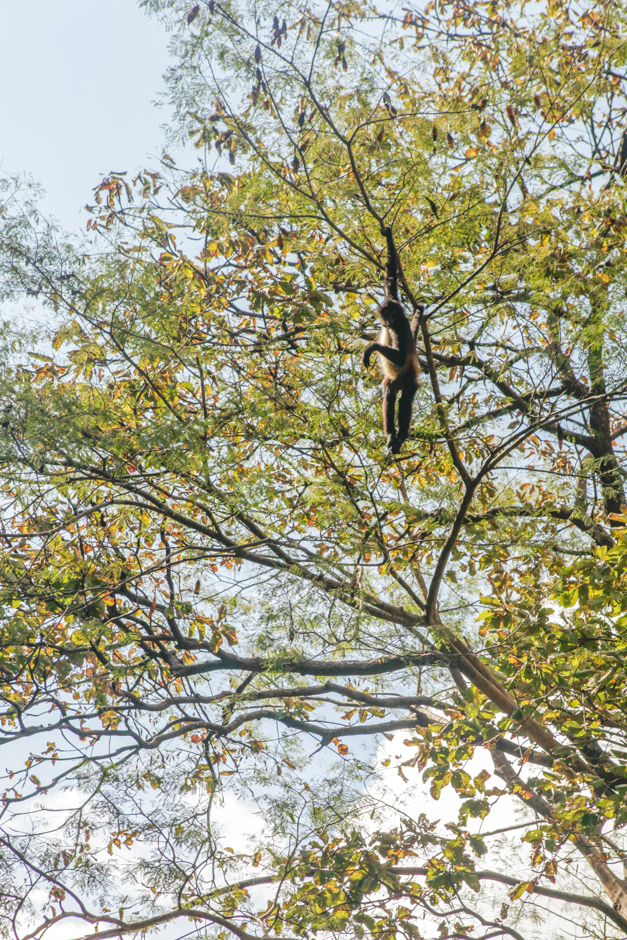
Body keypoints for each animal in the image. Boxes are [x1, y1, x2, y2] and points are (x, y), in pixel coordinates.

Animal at [362, 227, 421, 455]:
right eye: (386, 313)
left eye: (394, 314)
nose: (389, 320)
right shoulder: (392, 299)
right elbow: (390, 277)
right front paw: (388, 237)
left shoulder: (401, 328)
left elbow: (402, 355)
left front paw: (371, 347)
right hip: (394, 381)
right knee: (389, 393)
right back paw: (391, 436)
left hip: (410, 379)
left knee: (405, 399)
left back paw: (401, 436)